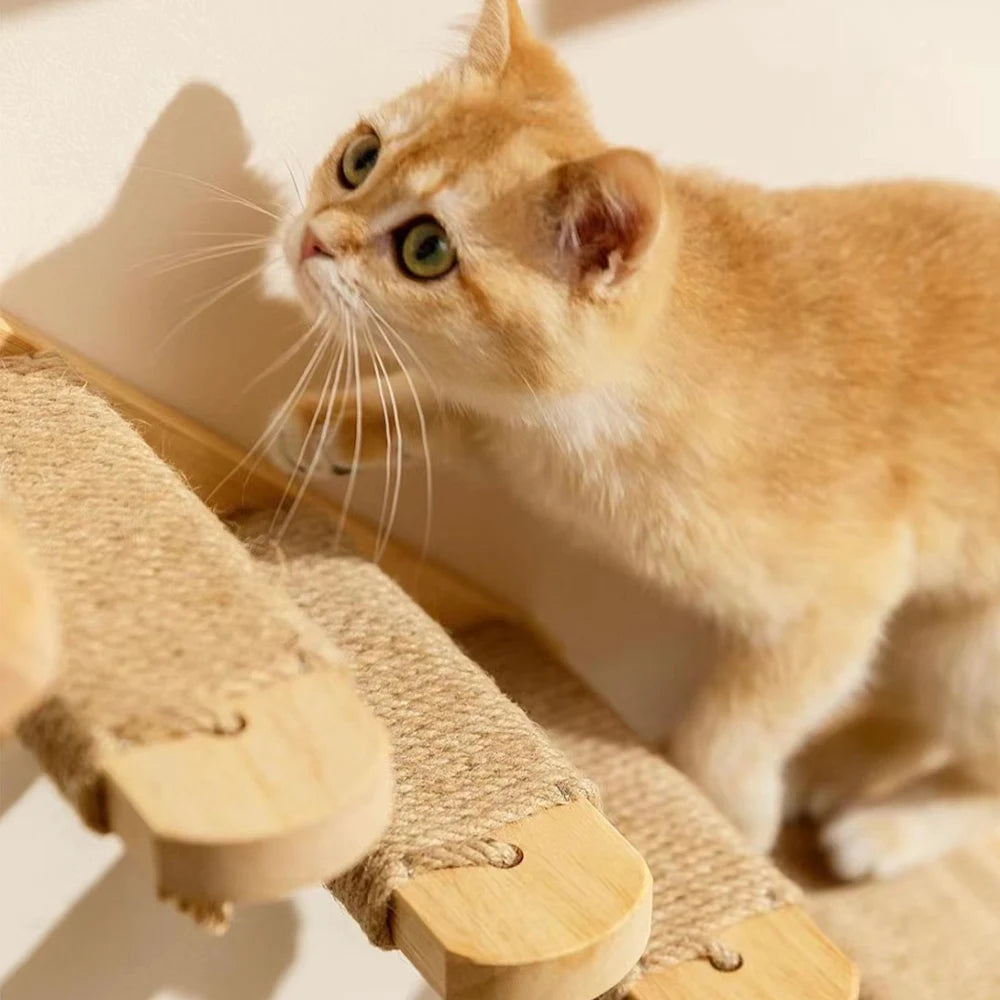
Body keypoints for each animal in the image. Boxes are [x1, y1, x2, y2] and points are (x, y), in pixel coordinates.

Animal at [274, 0, 1000, 876]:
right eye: (360, 156)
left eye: (426, 249)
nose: (313, 234)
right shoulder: (515, 435)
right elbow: (451, 410)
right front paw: (333, 425)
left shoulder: (841, 602)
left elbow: (731, 732)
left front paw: (730, 820)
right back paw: (839, 766)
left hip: (971, 652)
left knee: (980, 779)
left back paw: (888, 827)